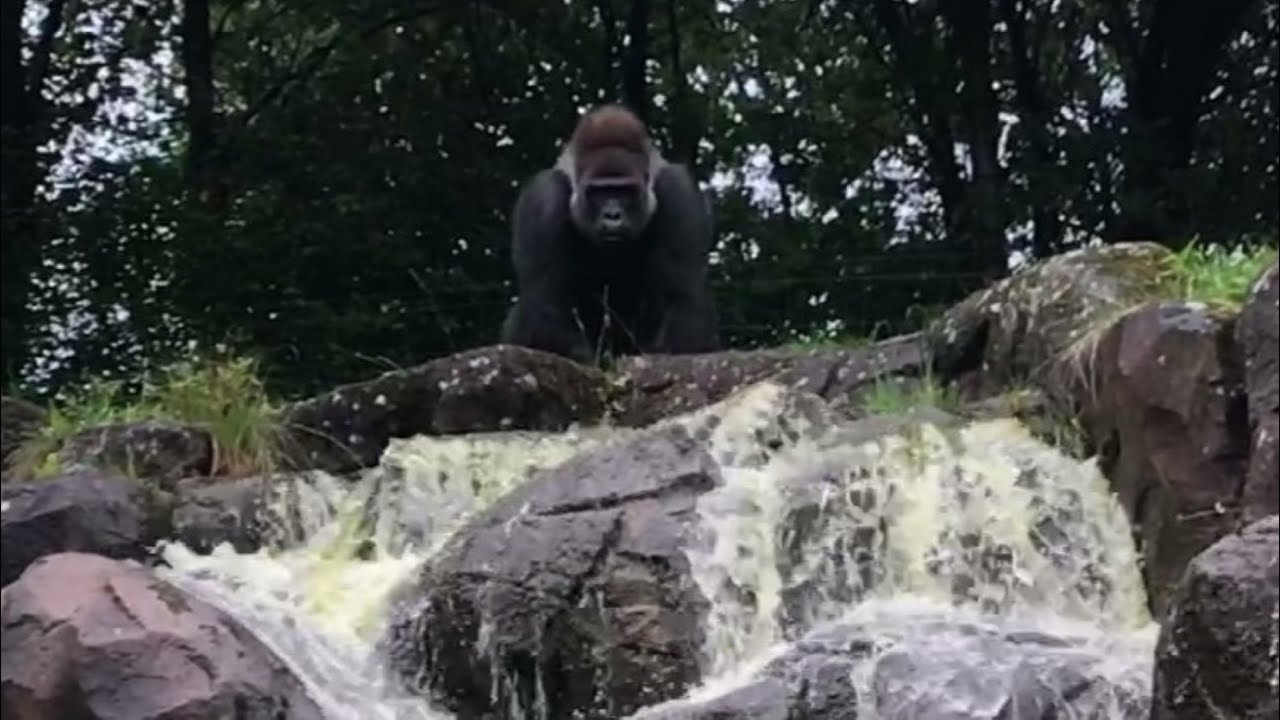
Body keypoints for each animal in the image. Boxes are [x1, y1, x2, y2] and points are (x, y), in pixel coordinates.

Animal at [499, 104, 720, 364]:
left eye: (625, 191)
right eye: (599, 192)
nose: (612, 215)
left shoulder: (677, 189)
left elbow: (681, 296)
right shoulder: (544, 197)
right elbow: (545, 300)